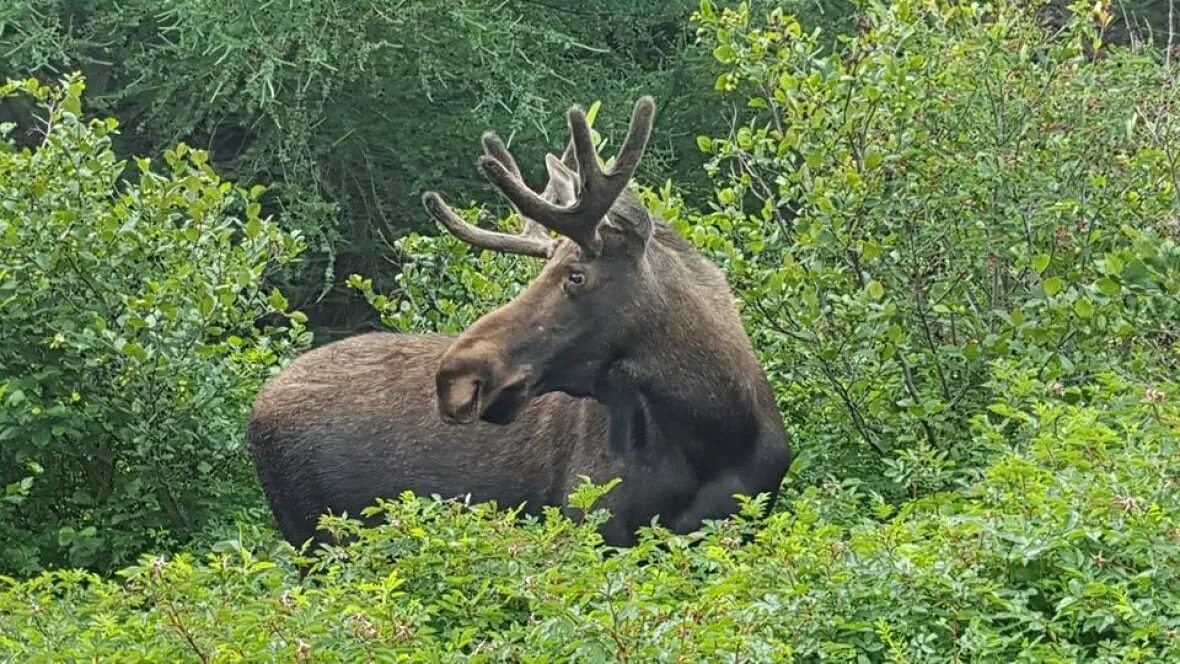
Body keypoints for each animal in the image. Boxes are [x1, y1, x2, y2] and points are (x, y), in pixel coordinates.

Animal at [245, 93, 792, 551]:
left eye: (575, 274)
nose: (455, 378)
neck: (718, 429)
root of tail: (255, 412)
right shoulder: (591, 523)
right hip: (314, 535)